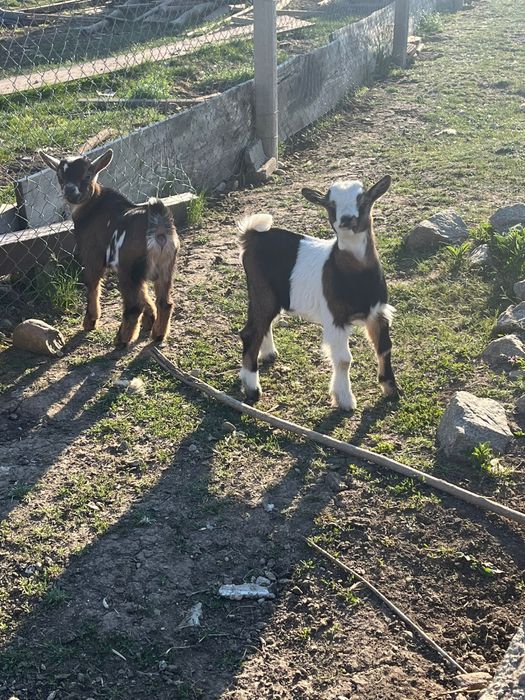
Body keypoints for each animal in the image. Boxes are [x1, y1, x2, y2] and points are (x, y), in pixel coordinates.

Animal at [39, 149, 179, 348]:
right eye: (60, 176)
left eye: (87, 175)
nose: (70, 192)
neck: (92, 206)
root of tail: (158, 225)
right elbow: (145, 295)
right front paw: (149, 321)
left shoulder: (92, 256)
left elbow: (92, 286)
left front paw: (90, 322)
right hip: (165, 267)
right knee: (164, 302)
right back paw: (157, 335)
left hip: (128, 268)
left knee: (133, 306)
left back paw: (121, 340)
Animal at [238, 175, 399, 410]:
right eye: (331, 205)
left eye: (362, 199)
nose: (346, 219)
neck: (356, 272)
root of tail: (251, 235)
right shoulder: (336, 317)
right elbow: (343, 359)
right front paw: (345, 400)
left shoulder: (378, 312)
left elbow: (384, 348)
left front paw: (391, 390)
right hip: (261, 289)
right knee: (251, 331)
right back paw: (252, 388)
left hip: (273, 295)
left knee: (263, 323)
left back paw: (268, 354)